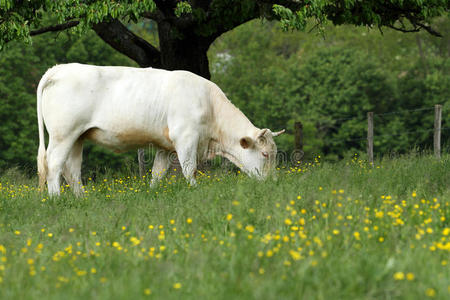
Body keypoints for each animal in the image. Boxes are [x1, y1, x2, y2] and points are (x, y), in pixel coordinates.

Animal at [38, 63, 284, 195]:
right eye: (265, 154)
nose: (273, 183)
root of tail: (58, 69)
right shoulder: (185, 138)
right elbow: (189, 169)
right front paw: (195, 190)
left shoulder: (165, 146)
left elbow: (158, 172)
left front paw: (152, 192)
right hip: (63, 135)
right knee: (54, 165)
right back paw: (56, 198)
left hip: (77, 137)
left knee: (72, 170)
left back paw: (82, 198)